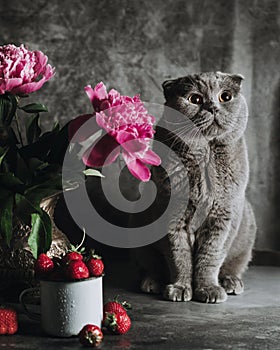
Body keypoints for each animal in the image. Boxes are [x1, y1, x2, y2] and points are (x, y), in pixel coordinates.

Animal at [139, 70, 258, 300]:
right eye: (195, 99)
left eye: (225, 97)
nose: (212, 107)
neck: (206, 156)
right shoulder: (173, 216)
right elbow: (179, 257)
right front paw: (179, 288)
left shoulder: (223, 216)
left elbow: (210, 257)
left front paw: (208, 290)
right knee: (151, 262)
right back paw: (152, 282)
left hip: (246, 230)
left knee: (235, 264)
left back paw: (231, 282)